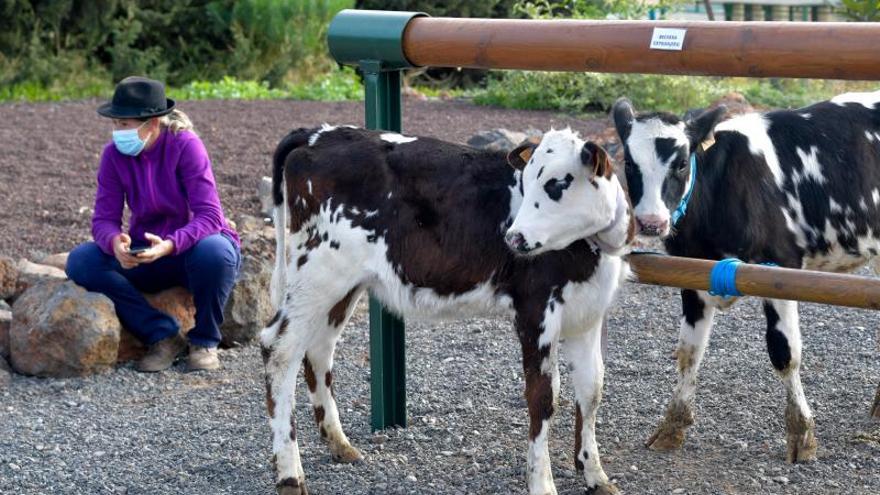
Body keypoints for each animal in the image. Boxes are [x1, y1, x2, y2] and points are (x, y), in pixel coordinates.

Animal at [262, 127, 632, 495]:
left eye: (557, 184)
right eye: (526, 181)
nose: (513, 238)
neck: (591, 252)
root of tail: (320, 134)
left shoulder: (588, 314)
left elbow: (592, 389)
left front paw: (595, 475)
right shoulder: (535, 311)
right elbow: (542, 397)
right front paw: (542, 483)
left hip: (343, 284)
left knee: (319, 348)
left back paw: (338, 443)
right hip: (317, 272)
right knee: (279, 348)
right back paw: (290, 475)